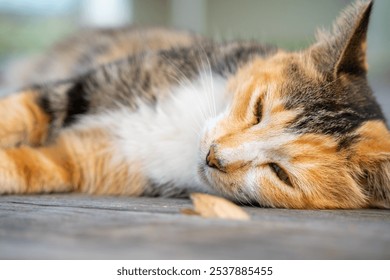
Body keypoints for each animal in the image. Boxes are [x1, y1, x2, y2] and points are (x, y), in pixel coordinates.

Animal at [0, 0, 390, 209]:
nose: (213, 157)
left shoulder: (88, 161)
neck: (181, 133)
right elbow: (25, 110)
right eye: (259, 109)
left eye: (281, 174)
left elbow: (34, 166)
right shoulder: (101, 82)